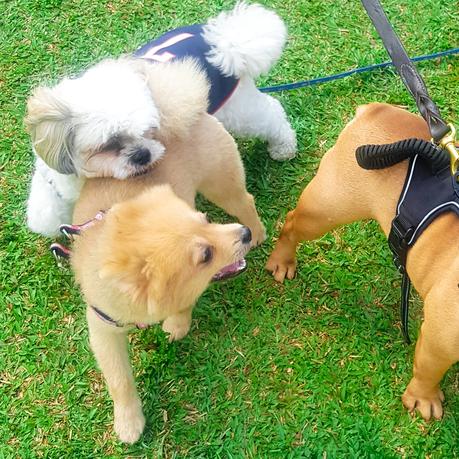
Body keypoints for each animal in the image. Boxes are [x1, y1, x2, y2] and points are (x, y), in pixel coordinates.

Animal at [26, 3, 298, 239]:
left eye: (150, 132)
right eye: (110, 144)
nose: (143, 154)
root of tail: (223, 40)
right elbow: (46, 208)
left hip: (236, 108)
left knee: (271, 113)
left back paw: (283, 147)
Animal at [67, 59, 266, 444]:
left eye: (205, 220)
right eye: (205, 254)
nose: (243, 235)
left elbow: (183, 307)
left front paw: (177, 324)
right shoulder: (103, 328)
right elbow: (119, 380)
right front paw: (129, 421)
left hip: (222, 183)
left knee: (244, 200)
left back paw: (260, 230)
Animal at [266, 103, 459, 420]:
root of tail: (377, 110)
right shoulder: (439, 338)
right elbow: (428, 370)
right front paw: (424, 399)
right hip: (327, 207)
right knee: (293, 223)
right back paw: (282, 261)